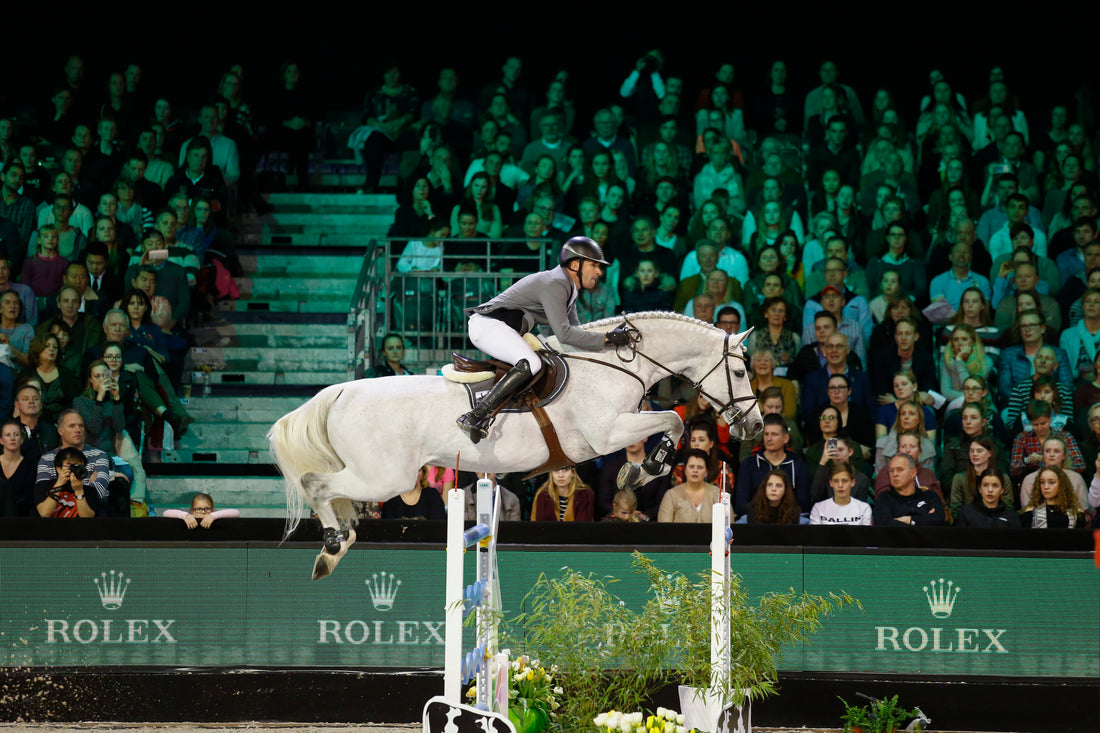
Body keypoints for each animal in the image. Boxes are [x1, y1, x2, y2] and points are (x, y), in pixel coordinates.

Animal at [270, 308, 761, 576]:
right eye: (739, 371)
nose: (754, 428)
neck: (617, 363)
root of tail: (341, 391)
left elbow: (672, 421)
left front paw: (641, 469)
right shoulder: (607, 433)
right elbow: (672, 420)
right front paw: (645, 468)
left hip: (379, 476)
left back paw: (336, 545)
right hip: (385, 477)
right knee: (316, 484)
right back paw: (332, 547)